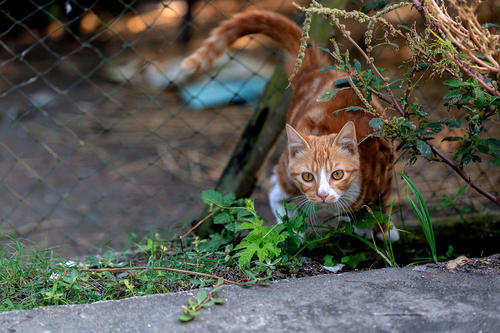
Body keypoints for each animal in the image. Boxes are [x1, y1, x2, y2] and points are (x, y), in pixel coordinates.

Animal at [182, 10, 396, 239]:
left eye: (337, 174)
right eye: (307, 176)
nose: (322, 194)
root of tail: (316, 71)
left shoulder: (385, 168)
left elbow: (381, 205)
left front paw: (382, 230)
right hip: (287, 166)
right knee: (276, 191)